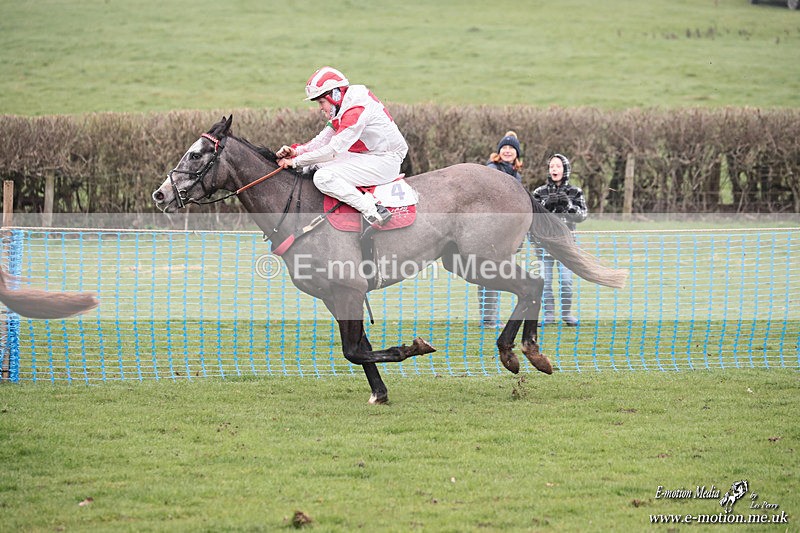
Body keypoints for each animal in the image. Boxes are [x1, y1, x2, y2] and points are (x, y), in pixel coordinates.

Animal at [152, 115, 627, 404]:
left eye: (196, 154)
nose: (160, 194)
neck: (296, 207)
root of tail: (515, 183)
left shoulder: (347, 289)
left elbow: (355, 351)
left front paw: (411, 348)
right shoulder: (336, 296)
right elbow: (358, 349)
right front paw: (379, 392)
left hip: (481, 259)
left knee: (533, 285)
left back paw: (522, 352)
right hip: (464, 261)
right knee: (531, 287)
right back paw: (526, 353)